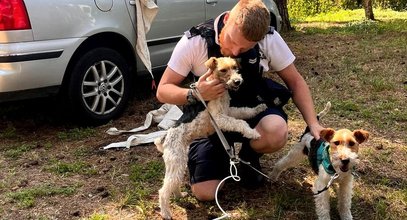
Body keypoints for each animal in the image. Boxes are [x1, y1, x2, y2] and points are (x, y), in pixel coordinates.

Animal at [156, 56, 268, 218]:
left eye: (235, 67)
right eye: (223, 70)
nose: (237, 81)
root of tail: (165, 138)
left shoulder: (229, 111)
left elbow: (244, 111)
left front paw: (259, 108)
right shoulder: (219, 118)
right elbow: (240, 122)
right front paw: (252, 132)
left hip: (179, 163)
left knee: (173, 184)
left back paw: (180, 195)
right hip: (176, 162)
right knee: (163, 191)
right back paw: (166, 213)